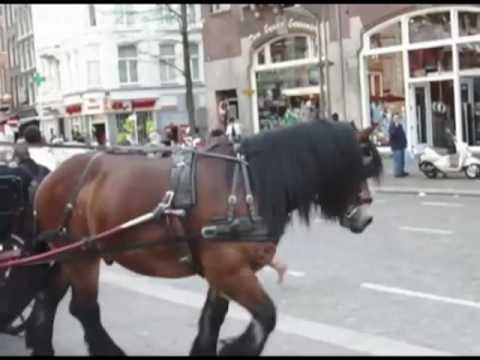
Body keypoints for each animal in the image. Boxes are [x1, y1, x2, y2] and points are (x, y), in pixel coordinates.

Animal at [20, 119, 384, 356]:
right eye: (356, 165)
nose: (366, 218)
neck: (246, 184)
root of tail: (50, 177)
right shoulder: (229, 270)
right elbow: (266, 316)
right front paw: (236, 349)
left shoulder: (222, 272)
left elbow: (212, 319)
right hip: (81, 256)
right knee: (84, 309)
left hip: (69, 254)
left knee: (48, 299)